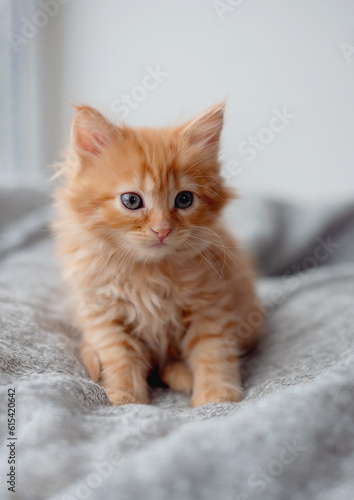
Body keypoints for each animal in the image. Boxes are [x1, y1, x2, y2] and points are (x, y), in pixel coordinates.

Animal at [51, 101, 262, 406]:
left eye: (184, 199)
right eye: (131, 201)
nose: (162, 230)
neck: (148, 271)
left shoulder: (210, 305)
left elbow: (213, 352)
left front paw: (216, 396)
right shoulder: (103, 314)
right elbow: (119, 357)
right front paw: (126, 398)